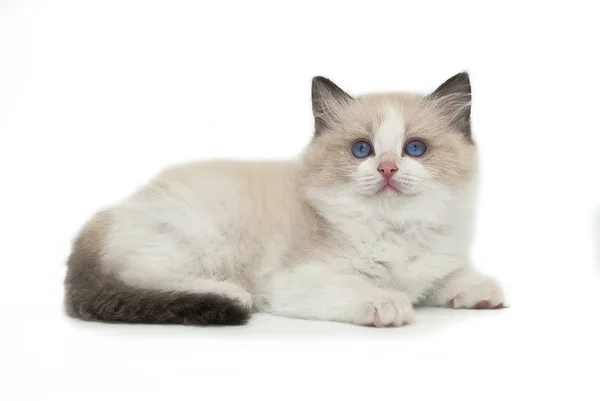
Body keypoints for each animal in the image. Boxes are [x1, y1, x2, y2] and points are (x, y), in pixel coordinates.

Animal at [65, 72, 504, 328]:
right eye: (362, 150)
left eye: (415, 149)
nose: (387, 169)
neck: (393, 230)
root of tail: (112, 213)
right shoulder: (293, 280)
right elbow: (357, 287)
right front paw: (387, 303)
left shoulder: (431, 264)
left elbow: (444, 278)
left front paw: (479, 290)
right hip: (206, 232)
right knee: (138, 276)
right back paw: (227, 293)